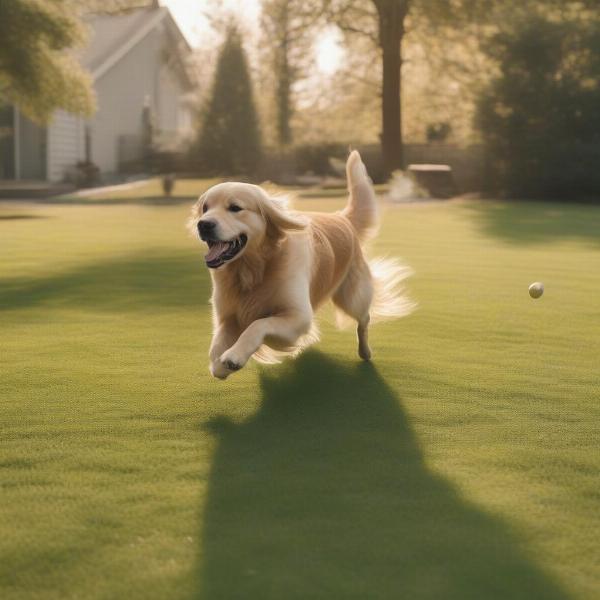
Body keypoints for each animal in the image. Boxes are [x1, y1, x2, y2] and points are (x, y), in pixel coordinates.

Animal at [188, 152, 412, 382]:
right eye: (205, 208)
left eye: (235, 208)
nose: (203, 224)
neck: (252, 269)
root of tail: (341, 217)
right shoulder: (228, 316)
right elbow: (216, 346)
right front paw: (220, 364)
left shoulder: (298, 316)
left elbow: (258, 324)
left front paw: (235, 355)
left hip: (351, 298)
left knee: (364, 319)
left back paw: (365, 351)